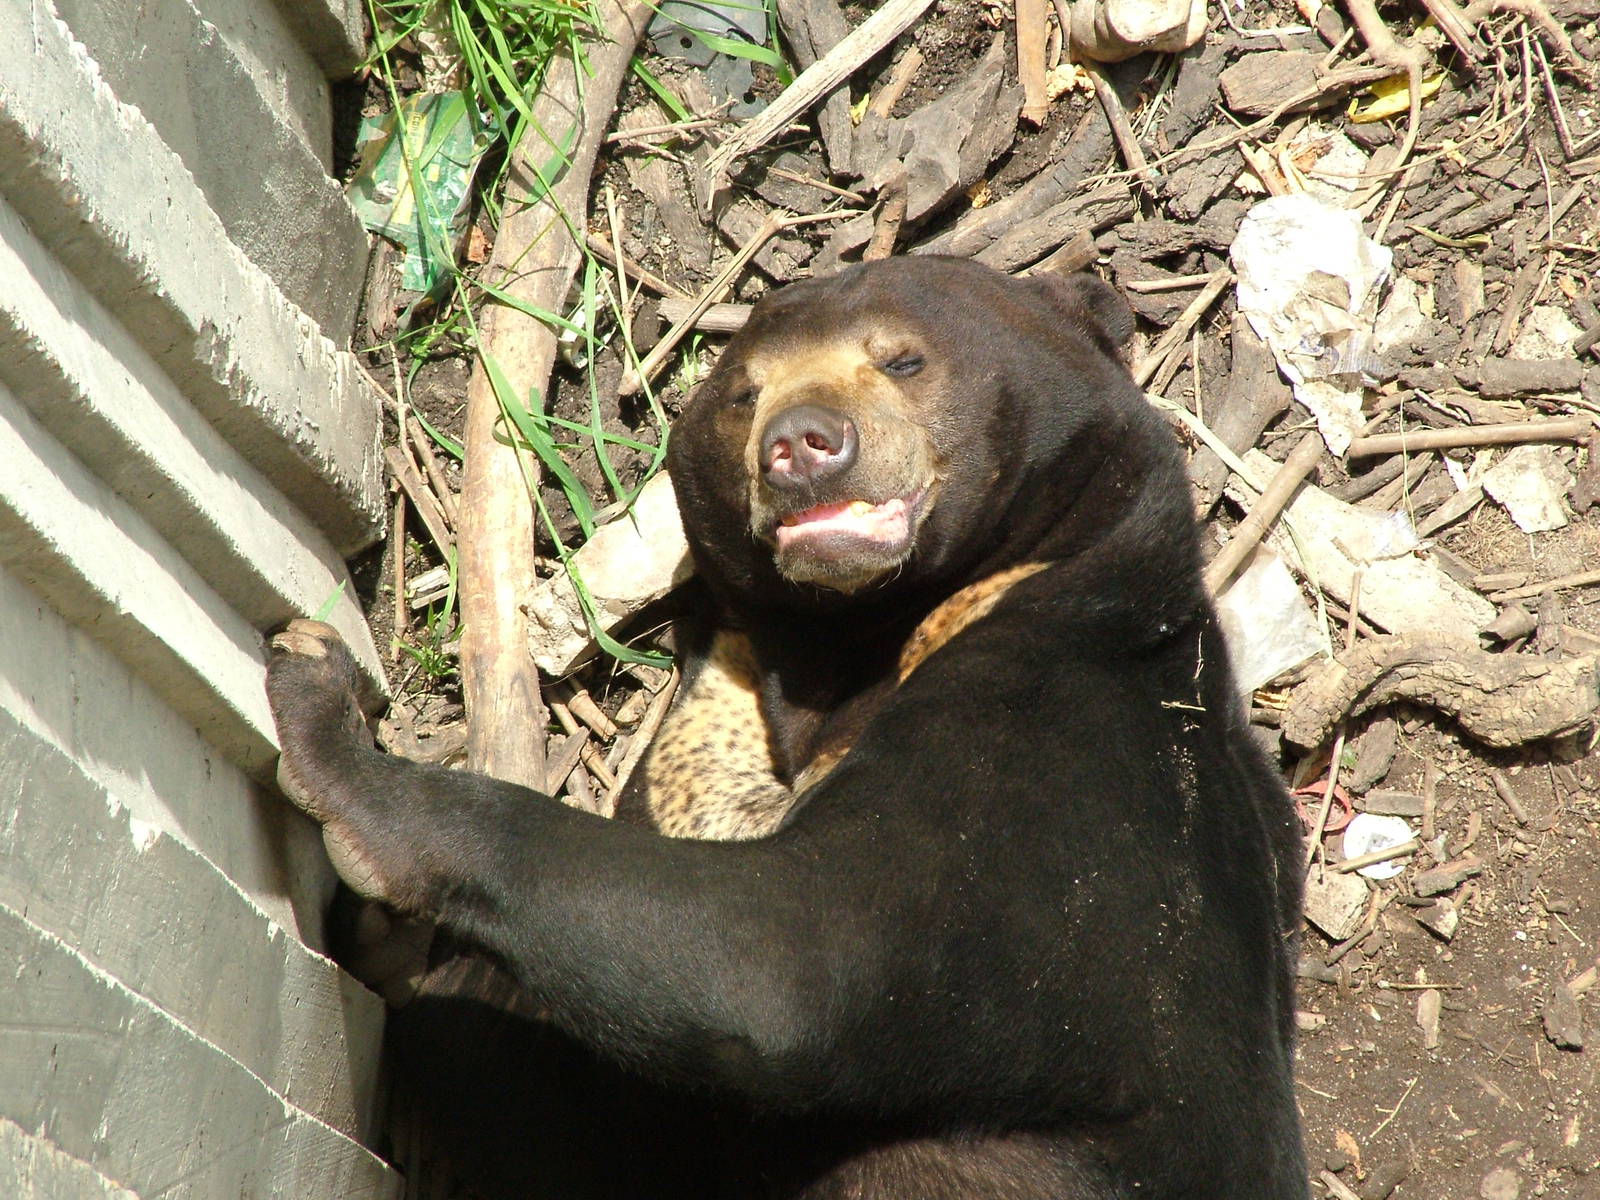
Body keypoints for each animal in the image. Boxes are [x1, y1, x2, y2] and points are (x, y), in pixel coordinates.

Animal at [267, 256, 1309, 1199]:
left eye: (902, 360)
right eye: (745, 395)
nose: (804, 445)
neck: (848, 645)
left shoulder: (1051, 775)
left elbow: (787, 960)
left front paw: (323, 714)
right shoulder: (707, 734)